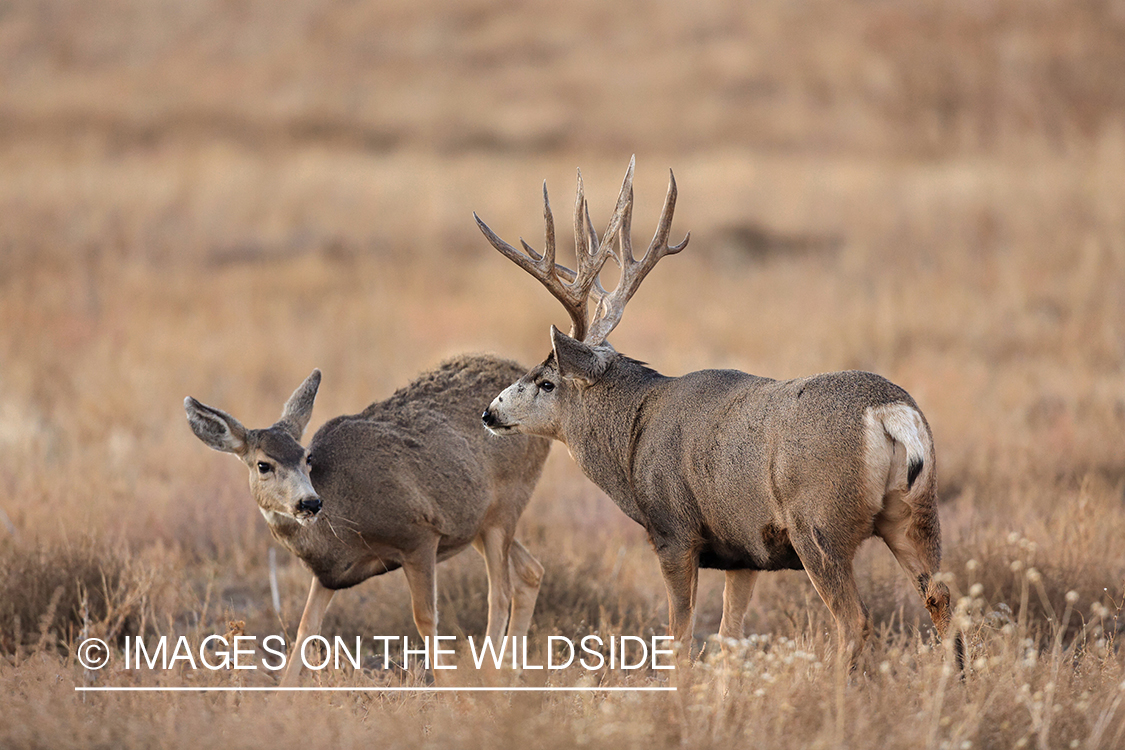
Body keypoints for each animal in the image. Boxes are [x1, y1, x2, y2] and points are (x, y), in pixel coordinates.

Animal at [185, 355, 551, 686]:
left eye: (307, 458)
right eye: (263, 465)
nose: (310, 502)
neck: (342, 523)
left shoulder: (419, 533)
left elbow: (425, 617)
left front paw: (452, 694)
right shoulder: (329, 573)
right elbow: (306, 628)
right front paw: (281, 699)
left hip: (505, 506)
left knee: (500, 592)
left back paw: (490, 677)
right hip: (478, 521)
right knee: (531, 571)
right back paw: (509, 673)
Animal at [475, 157, 957, 671]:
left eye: (546, 381)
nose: (489, 412)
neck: (632, 439)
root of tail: (891, 413)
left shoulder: (674, 532)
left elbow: (681, 637)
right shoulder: (742, 552)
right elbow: (729, 638)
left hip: (819, 525)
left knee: (855, 620)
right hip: (917, 512)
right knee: (941, 598)